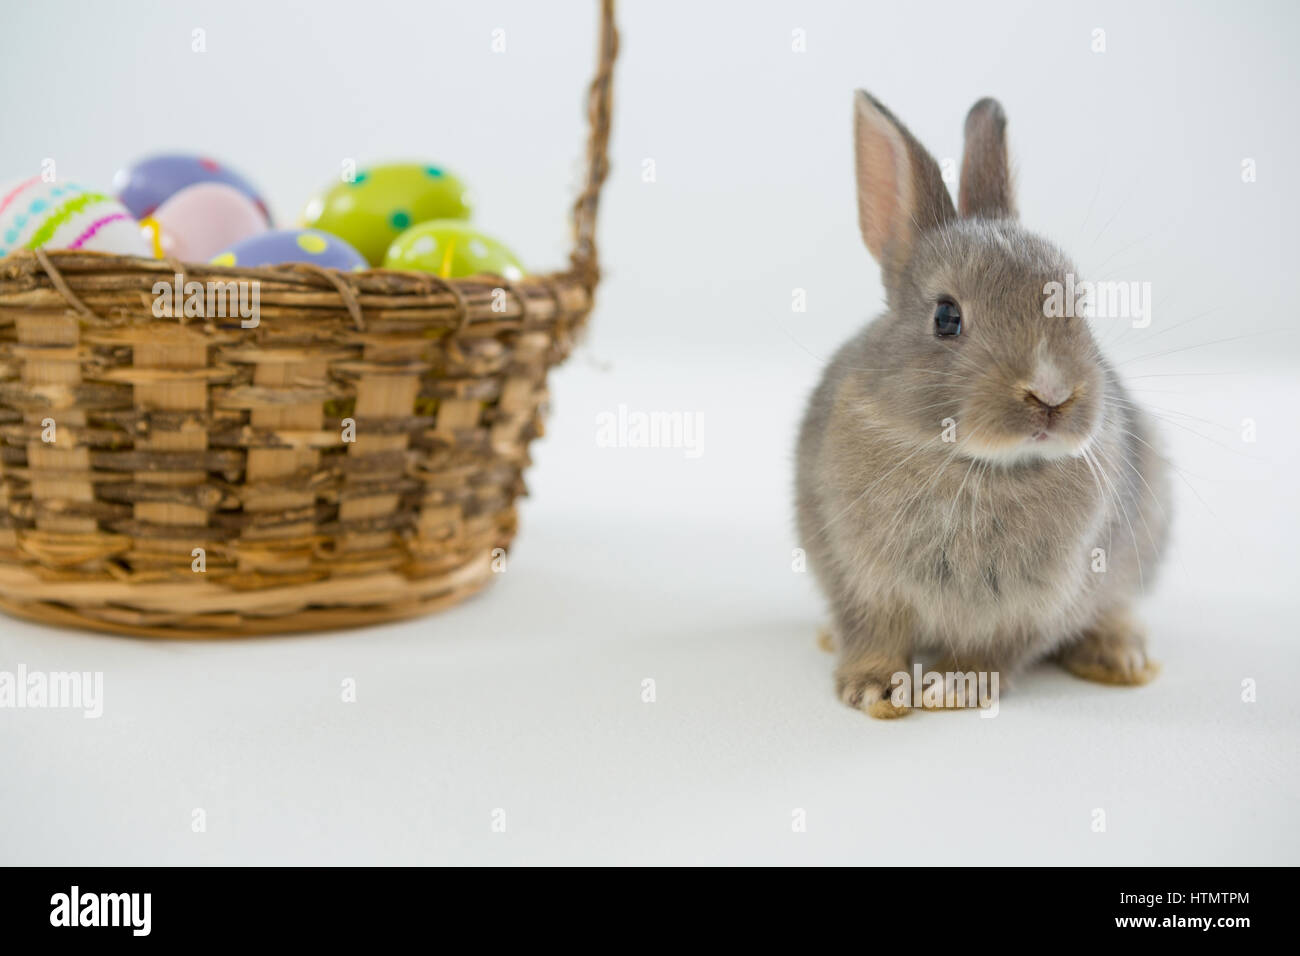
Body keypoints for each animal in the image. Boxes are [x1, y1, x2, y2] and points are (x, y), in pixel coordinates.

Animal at [795, 92, 1171, 718]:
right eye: (947, 317)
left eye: (1078, 302)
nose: (1051, 395)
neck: (973, 465)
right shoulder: (855, 575)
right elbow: (870, 632)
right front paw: (876, 689)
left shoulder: (1041, 602)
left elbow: (996, 650)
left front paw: (952, 687)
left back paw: (1120, 657)